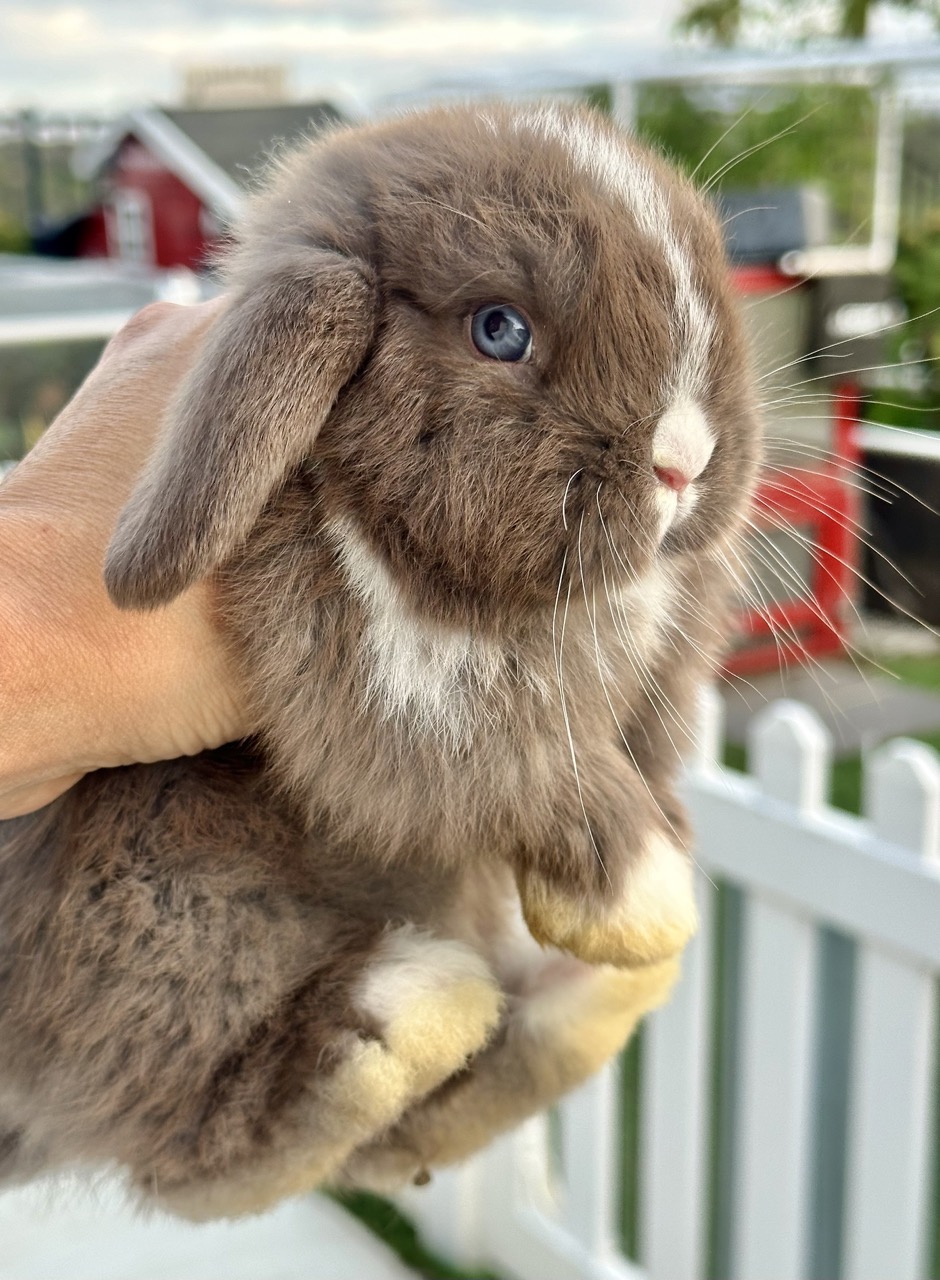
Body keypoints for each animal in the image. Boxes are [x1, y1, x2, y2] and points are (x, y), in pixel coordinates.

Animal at [0, 101, 761, 1218]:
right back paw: (397, 1014)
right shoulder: (395, 699)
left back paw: (576, 1004)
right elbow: (545, 767)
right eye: (499, 329)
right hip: (165, 920)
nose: (686, 462)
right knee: (203, 1142)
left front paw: (654, 875)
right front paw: (646, 900)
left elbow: (645, 755)